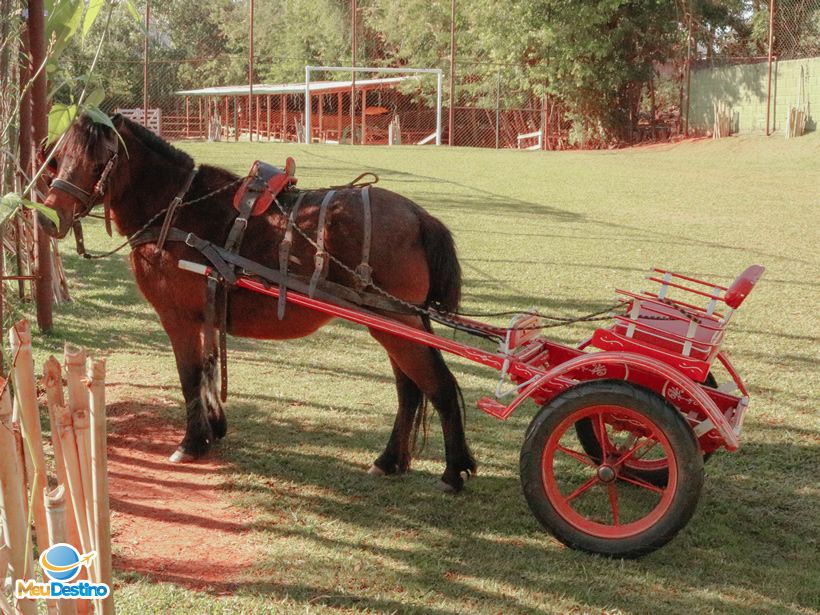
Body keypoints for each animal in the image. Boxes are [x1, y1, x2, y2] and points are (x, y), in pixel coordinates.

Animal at [41, 114, 478, 490]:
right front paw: (213, 430)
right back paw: (390, 460)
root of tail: (418, 216)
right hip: (394, 324)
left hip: (398, 324)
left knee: (437, 385)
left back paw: (454, 470)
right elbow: (208, 369)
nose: (48, 218)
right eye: (57, 159)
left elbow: (190, 376)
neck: (177, 210)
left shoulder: (178, 317)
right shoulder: (205, 314)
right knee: (410, 389)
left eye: (98, 161)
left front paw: (191, 442)